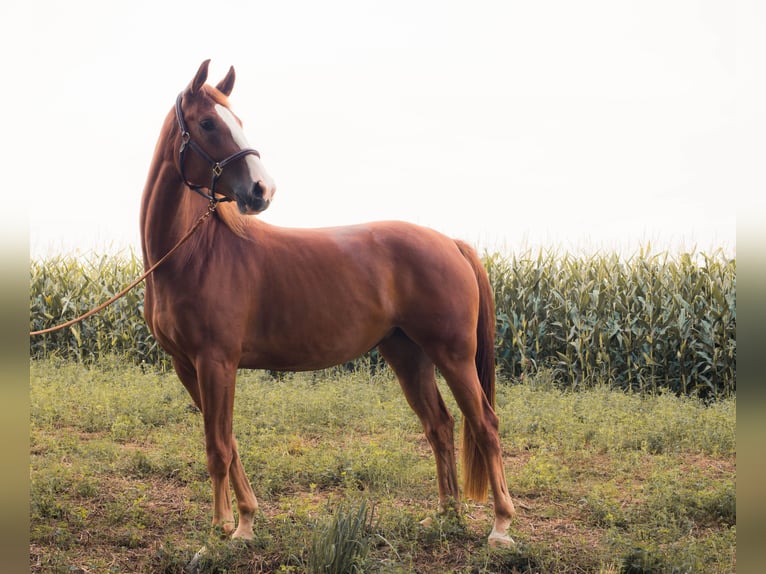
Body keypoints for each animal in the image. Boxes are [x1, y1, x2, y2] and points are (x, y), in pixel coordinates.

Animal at [142, 59, 520, 548]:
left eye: (237, 120)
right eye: (208, 123)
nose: (262, 190)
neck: (193, 254)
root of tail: (450, 243)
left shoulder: (216, 362)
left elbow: (218, 447)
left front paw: (220, 532)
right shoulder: (188, 366)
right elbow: (229, 442)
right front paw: (244, 521)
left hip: (453, 355)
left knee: (485, 425)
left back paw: (501, 526)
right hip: (408, 354)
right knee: (441, 425)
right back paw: (445, 515)